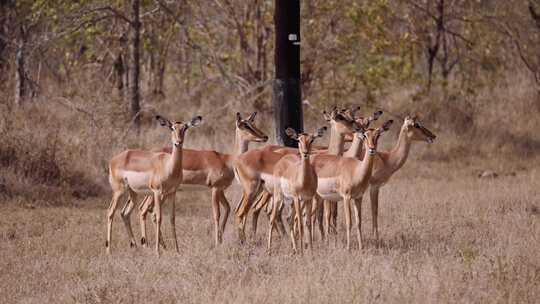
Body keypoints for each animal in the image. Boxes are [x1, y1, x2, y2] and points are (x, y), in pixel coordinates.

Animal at [104, 115, 201, 255]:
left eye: (185, 128)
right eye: (172, 128)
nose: (178, 142)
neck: (169, 166)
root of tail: (113, 160)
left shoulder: (172, 193)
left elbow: (172, 218)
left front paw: (177, 251)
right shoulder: (157, 192)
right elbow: (159, 217)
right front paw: (158, 252)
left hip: (133, 193)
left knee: (125, 213)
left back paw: (135, 247)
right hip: (119, 191)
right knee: (111, 212)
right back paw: (109, 250)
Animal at [130, 113, 266, 248]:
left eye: (252, 123)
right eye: (245, 125)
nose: (265, 136)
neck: (227, 160)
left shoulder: (221, 190)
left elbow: (228, 208)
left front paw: (221, 239)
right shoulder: (215, 189)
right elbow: (217, 214)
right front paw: (217, 243)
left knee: (145, 209)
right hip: (157, 192)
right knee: (146, 210)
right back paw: (149, 244)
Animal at [268, 126, 326, 254]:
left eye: (312, 140)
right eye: (299, 140)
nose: (305, 153)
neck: (304, 181)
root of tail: (282, 160)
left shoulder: (308, 199)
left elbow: (308, 223)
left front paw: (311, 251)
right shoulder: (297, 198)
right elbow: (300, 224)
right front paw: (303, 252)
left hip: (291, 202)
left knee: (289, 220)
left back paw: (294, 249)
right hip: (279, 197)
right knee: (272, 218)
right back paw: (269, 251)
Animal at [312, 120, 392, 251]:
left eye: (378, 135)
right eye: (365, 135)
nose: (372, 149)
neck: (356, 170)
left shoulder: (358, 198)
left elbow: (358, 222)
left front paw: (361, 247)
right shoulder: (346, 197)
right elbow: (349, 222)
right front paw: (348, 248)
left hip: (319, 197)